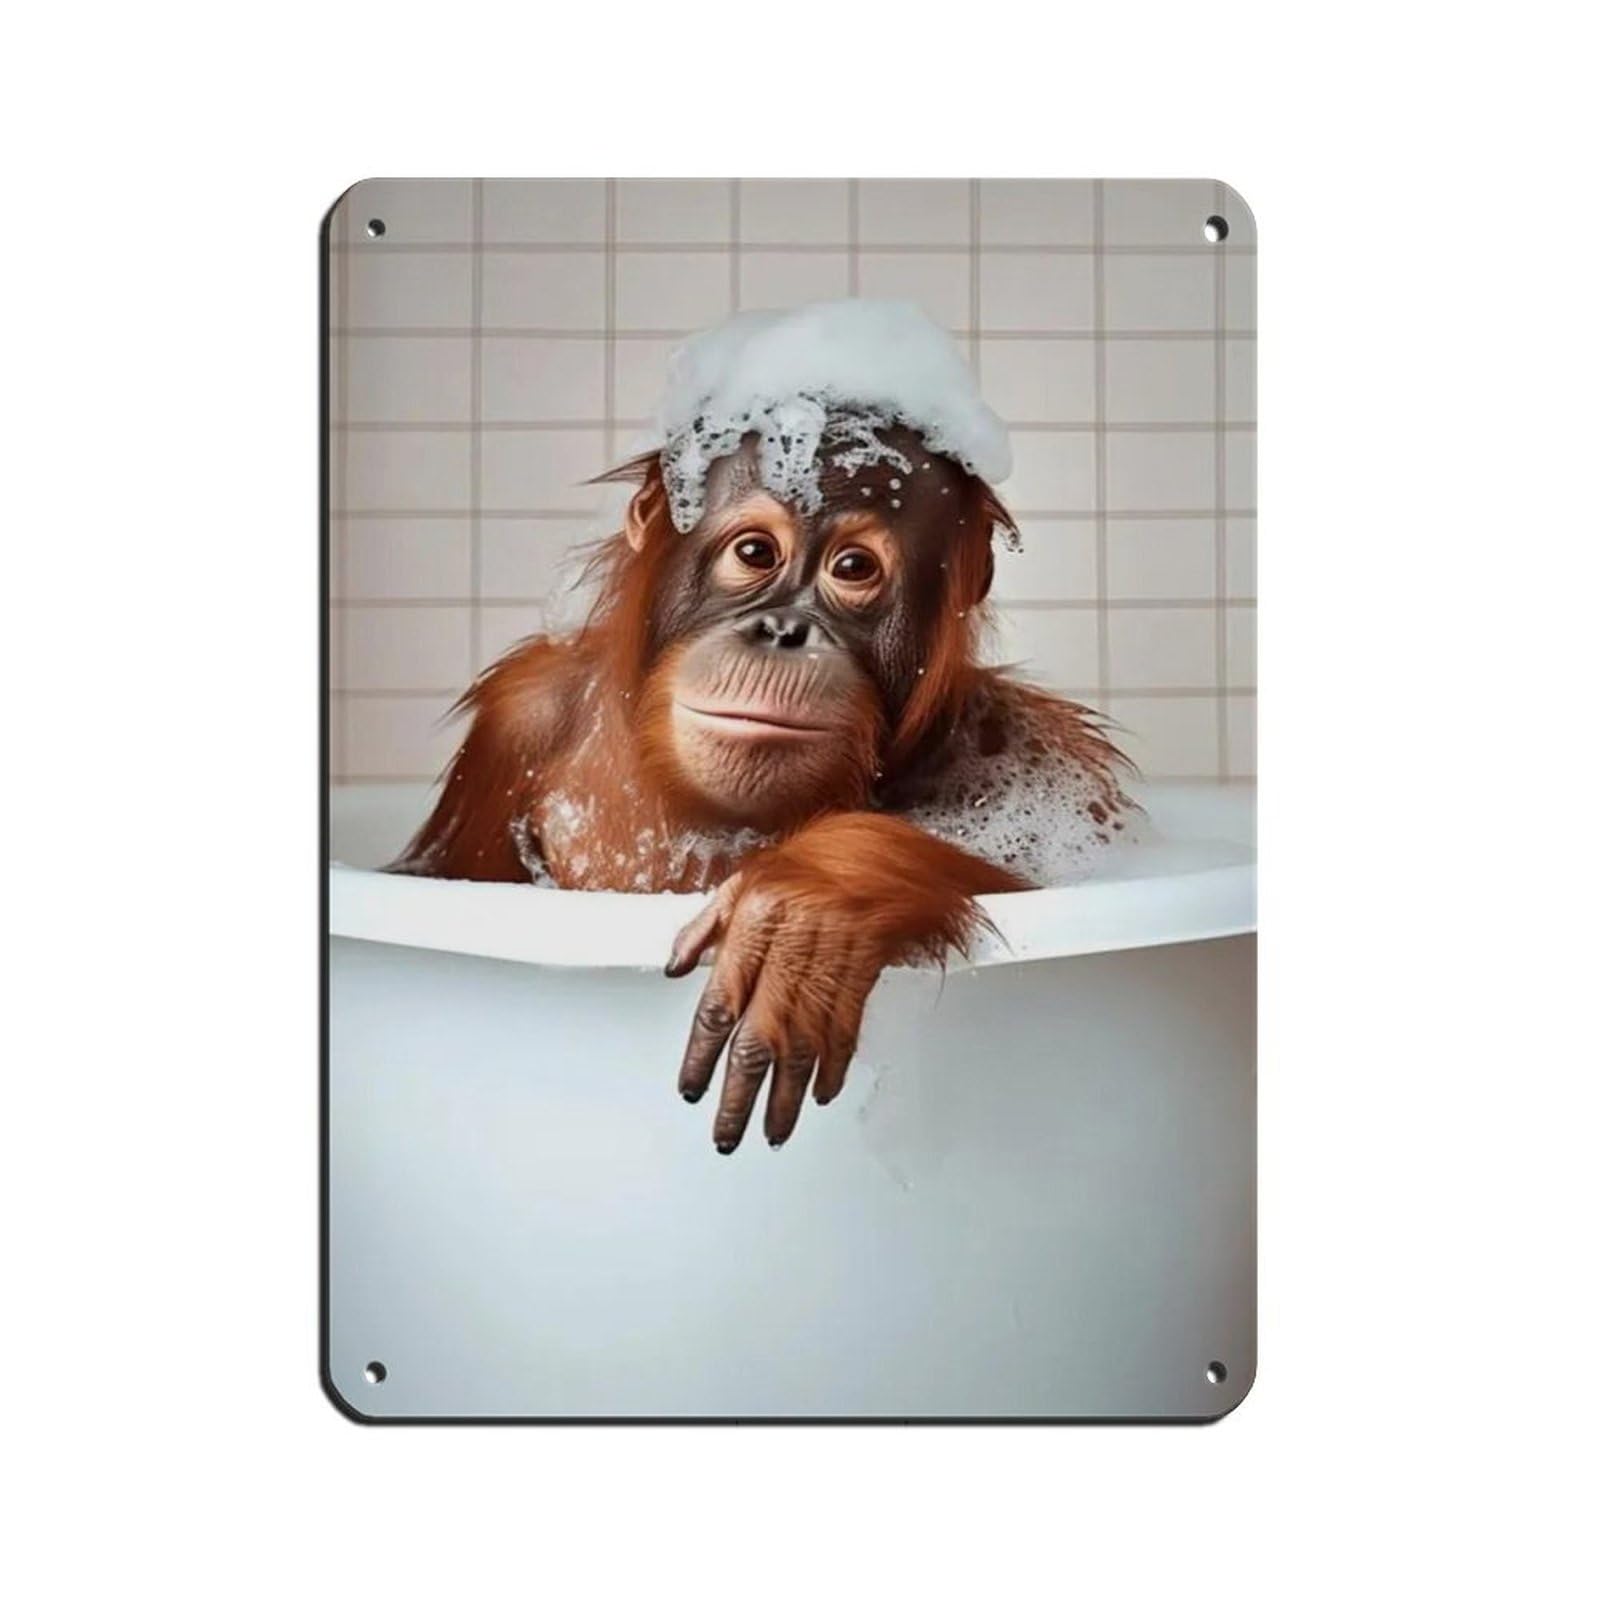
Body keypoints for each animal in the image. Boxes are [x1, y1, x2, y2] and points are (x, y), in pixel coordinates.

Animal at [394, 416, 1132, 1152]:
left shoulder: (1031, 753)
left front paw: (810, 904)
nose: (782, 629)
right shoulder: (519, 717)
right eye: (755, 553)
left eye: (854, 568)